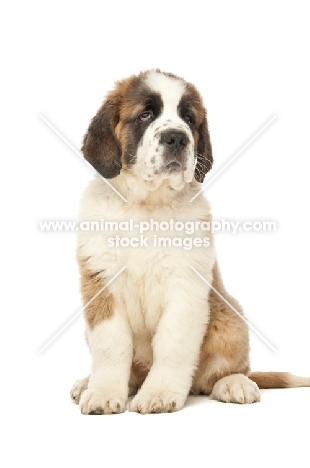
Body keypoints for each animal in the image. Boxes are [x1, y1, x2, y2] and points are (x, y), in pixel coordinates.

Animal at [71, 68, 310, 414]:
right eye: (145, 115)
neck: (147, 204)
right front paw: (102, 392)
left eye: (188, 118)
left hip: (228, 317)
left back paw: (234, 384)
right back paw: (88, 383)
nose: (176, 137)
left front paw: (158, 393)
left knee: (225, 371)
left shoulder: (185, 286)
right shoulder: (102, 283)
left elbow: (173, 343)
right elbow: (111, 345)